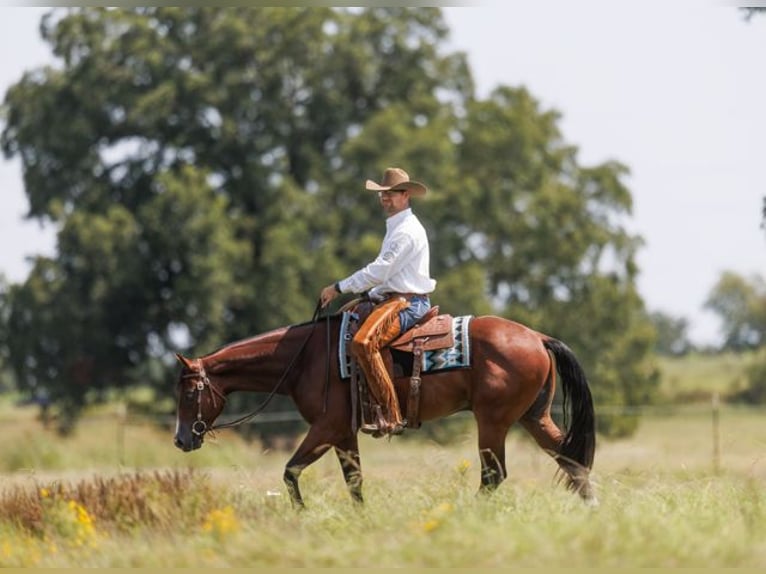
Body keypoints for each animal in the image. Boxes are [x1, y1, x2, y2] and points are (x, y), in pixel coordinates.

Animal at [173, 305, 598, 508]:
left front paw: (303, 513)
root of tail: (537, 337)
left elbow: (291, 471)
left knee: (494, 475)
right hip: (533, 417)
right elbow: (354, 481)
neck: (305, 358)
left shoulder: (326, 427)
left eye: (190, 394)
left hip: (492, 421)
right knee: (571, 460)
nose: (180, 440)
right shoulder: (344, 433)